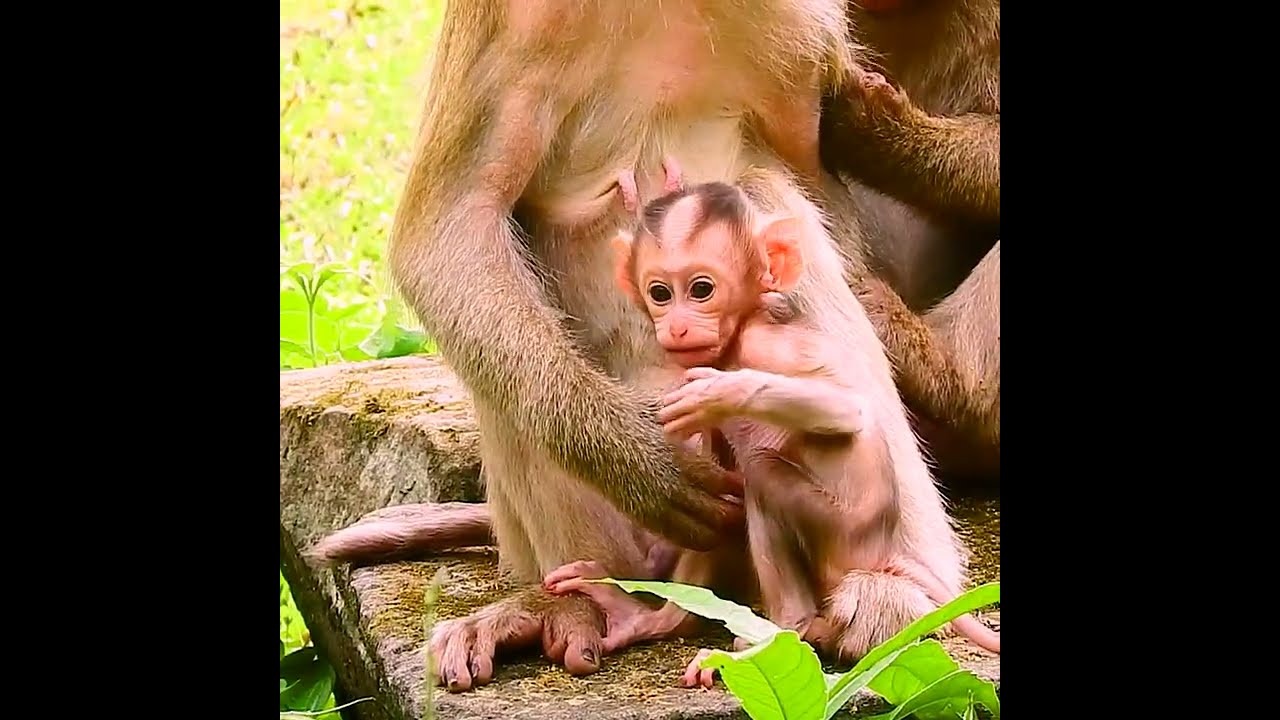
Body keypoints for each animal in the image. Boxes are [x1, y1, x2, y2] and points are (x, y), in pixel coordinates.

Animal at [544, 173, 996, 689]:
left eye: (701, 289)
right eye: (660, 293)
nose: (676, 327)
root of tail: (883, 555)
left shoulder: (768, 346)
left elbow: (847, 408)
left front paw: (722, 392)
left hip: (845, 541)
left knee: (762, 477)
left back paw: (784, 630)